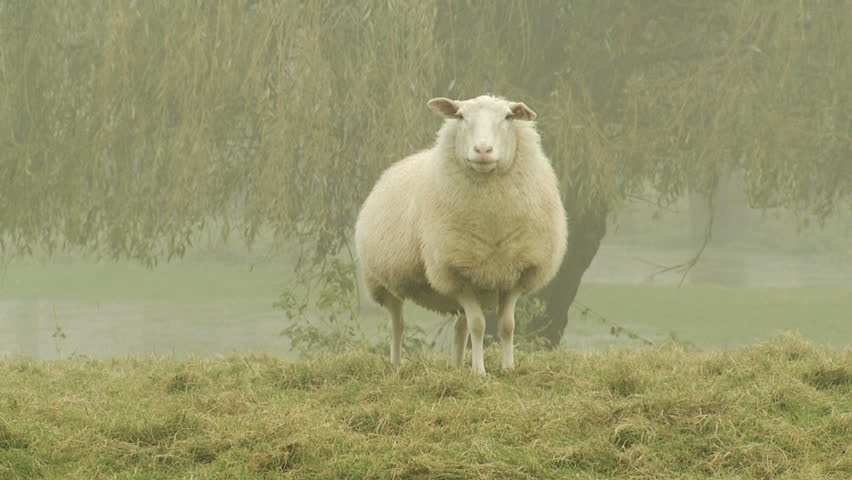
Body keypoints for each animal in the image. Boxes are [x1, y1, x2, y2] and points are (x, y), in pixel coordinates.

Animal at [354, 95, 567, 374]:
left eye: (508, 117)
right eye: (461, 117)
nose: (483, 150)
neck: (491, 220)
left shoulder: (516, 274)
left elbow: (506, 326)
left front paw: (507, 368)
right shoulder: (455, 273)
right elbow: (478, 325)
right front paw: (479, 372)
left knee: (459, 327)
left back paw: (456, 366)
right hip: (382, 282)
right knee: (397, 324)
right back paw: (397, 365)